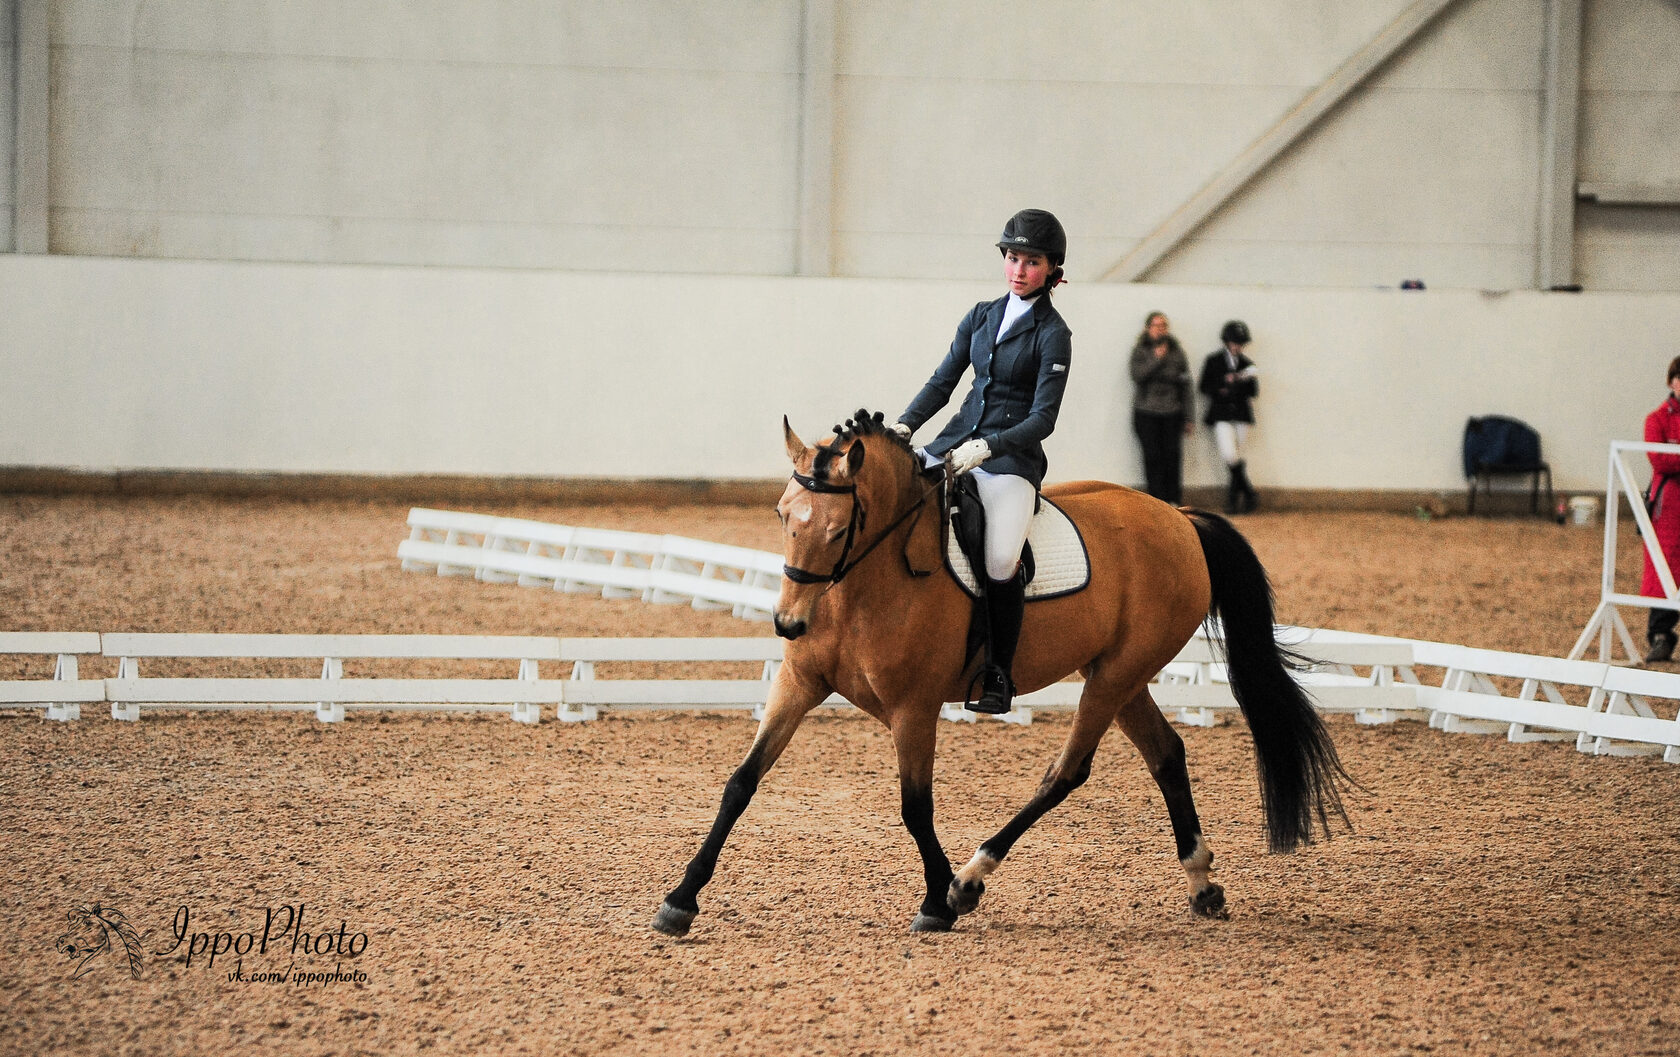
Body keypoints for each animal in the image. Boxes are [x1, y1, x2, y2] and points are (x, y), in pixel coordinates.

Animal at [648, 408, 1344, 934]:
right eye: (780, 514)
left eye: (841, 526)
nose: (788, 623)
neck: (864, 583)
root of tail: (1180, 518)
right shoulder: (798, 686)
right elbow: (741, 783)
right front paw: (681, 900)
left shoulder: (914, 707)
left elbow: (915, 806)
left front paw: (936, 900)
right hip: (1119, 674)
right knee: (1167, 754)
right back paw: (1201, 883)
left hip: (1113, 678)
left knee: (1066, 772)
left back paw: (969, 880)